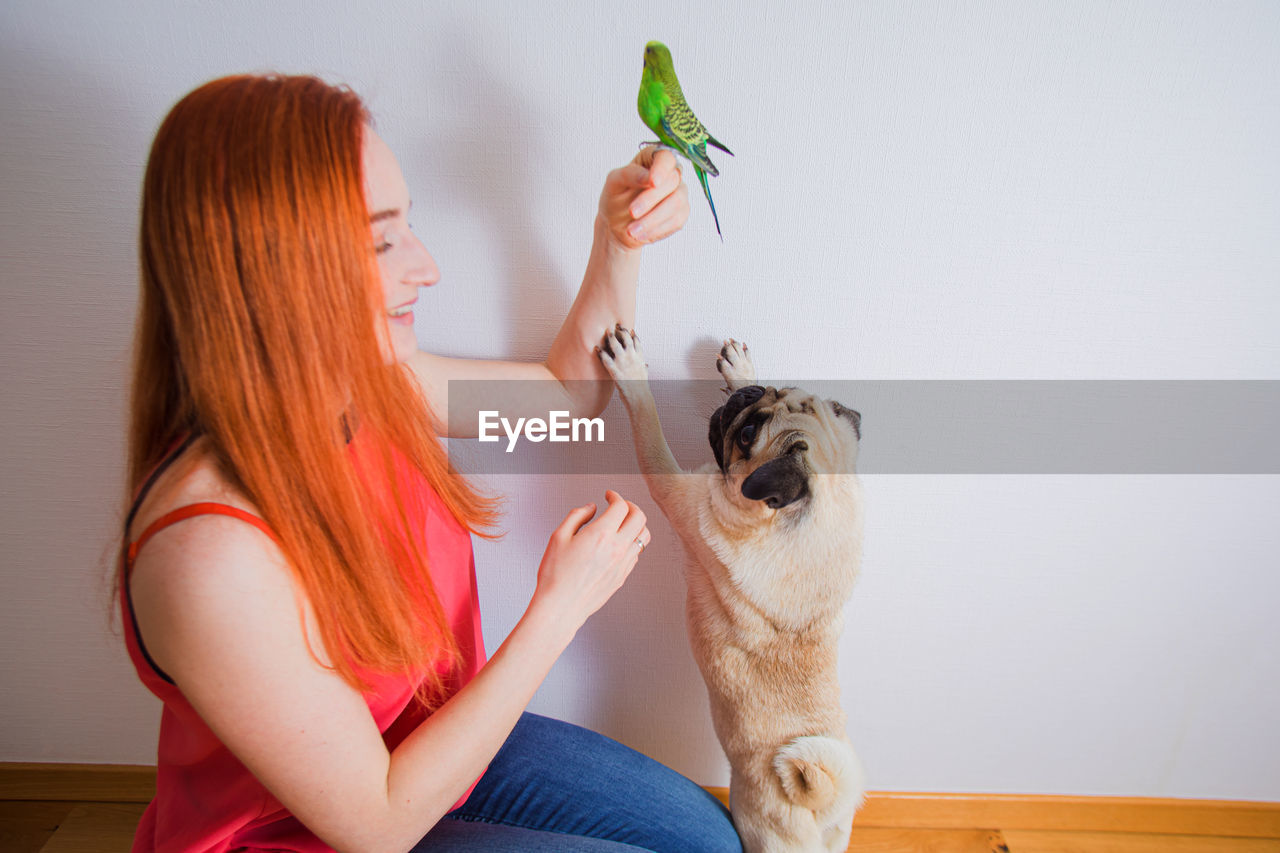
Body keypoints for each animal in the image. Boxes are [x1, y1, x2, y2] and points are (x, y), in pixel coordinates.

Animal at [596, 326, 860, 850]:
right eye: (772, 392)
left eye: (746, 435)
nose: (744, 397)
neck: (807, 524)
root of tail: (820, 805)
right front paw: (742, 369)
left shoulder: (675, 488)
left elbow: (648, 422)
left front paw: (631, 370)